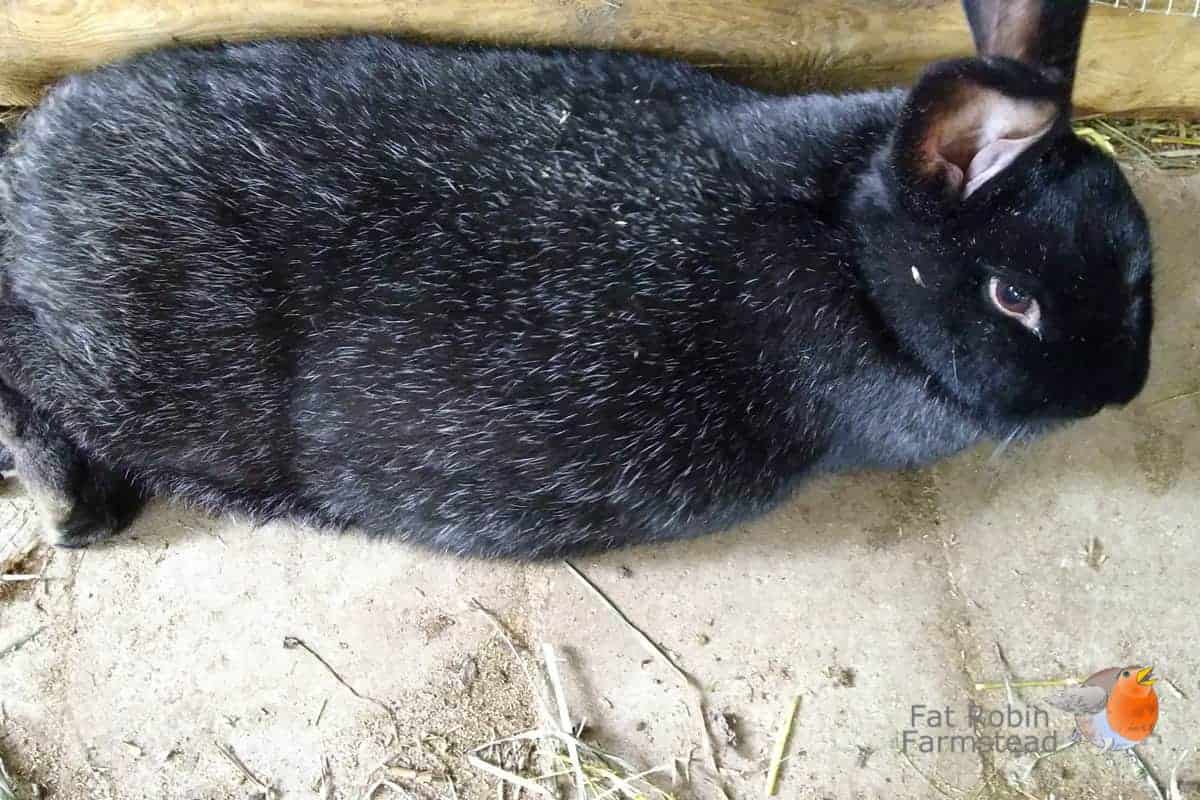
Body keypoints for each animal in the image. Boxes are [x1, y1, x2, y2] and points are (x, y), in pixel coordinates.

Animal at [0, 0, 1152, 561]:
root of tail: (22, 180)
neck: (847, 240)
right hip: (137, 356)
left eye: (1142, 272)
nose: (1122, 393)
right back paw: (70, 508)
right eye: (1014, 298)